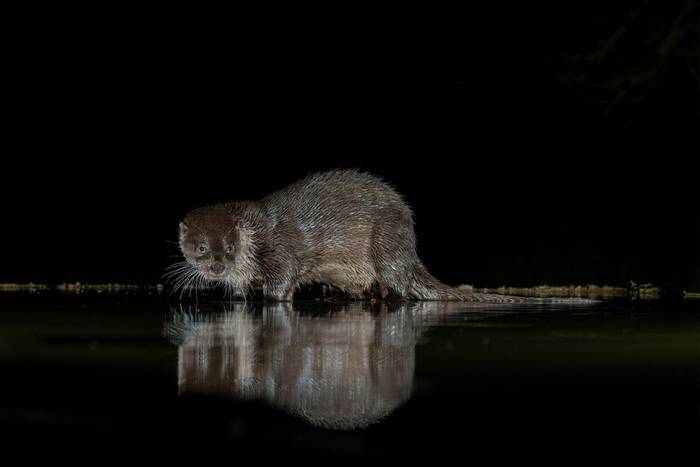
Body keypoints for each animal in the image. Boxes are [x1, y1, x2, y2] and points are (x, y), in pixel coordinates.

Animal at [172, 170, 592, 304]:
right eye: (201, 247)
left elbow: (281, 285)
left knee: (399, 286)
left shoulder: (281, 253)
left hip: (388, 240)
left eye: (230, 246)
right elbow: (238, 293)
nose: (217, 266)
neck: (257, 235)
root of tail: (411, 244)